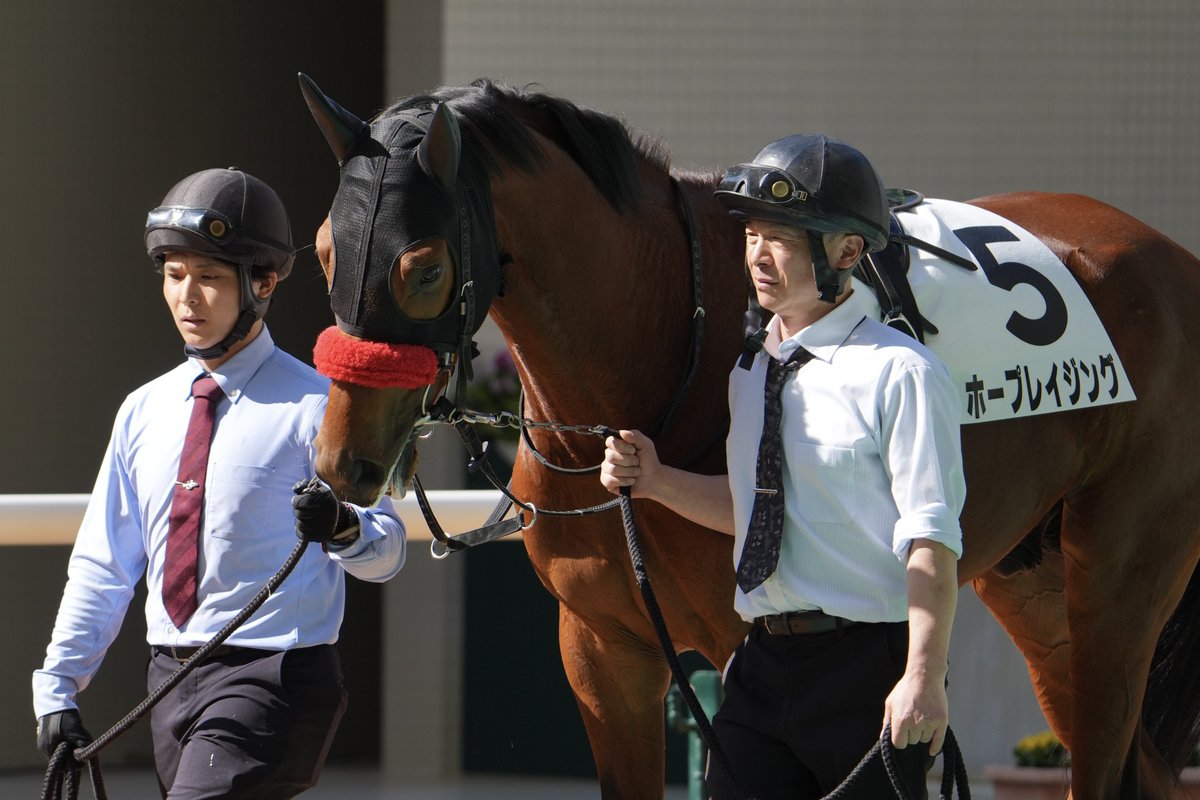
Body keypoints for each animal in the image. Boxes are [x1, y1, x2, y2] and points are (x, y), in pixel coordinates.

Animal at [296, 75, 1200, 799]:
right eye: (325, 249)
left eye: (422, 267)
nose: (342, 465)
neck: (665, 345)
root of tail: (1175, 261)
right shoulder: (604, 652)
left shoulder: (742, 645)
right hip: (1033, 583)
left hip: (1117, 580)